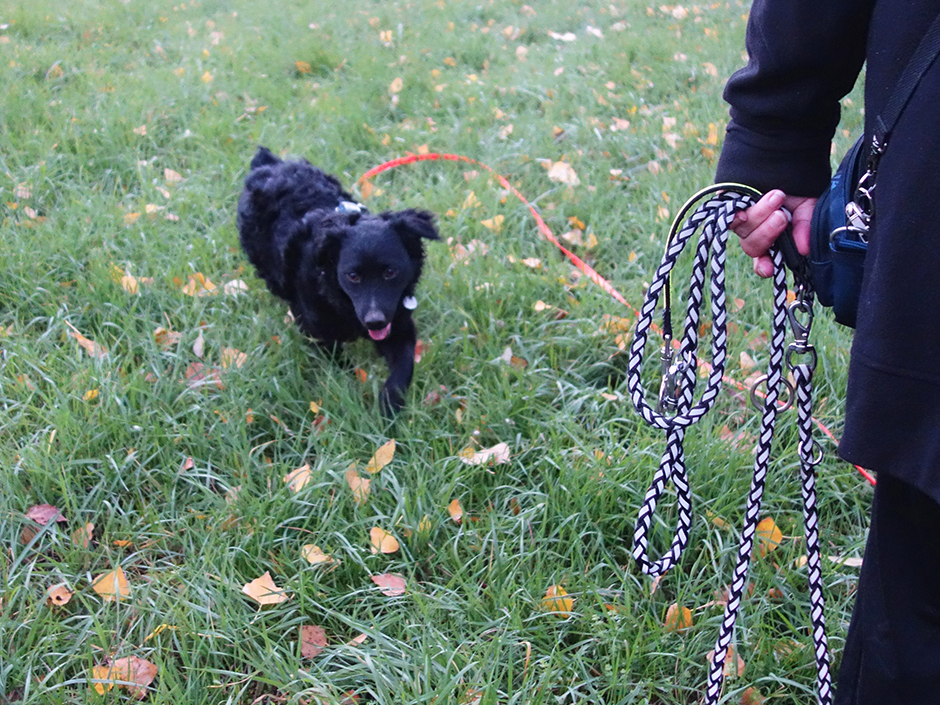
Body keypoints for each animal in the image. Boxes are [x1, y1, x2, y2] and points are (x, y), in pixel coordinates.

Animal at [235, 146, 440, 416]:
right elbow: (342, 365)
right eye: (352, 276)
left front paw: (389, 408)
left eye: (390, 272)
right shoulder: (317, 330)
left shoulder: (397, 323)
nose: (374, 322)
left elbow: (403, 368)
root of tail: (269, 163)